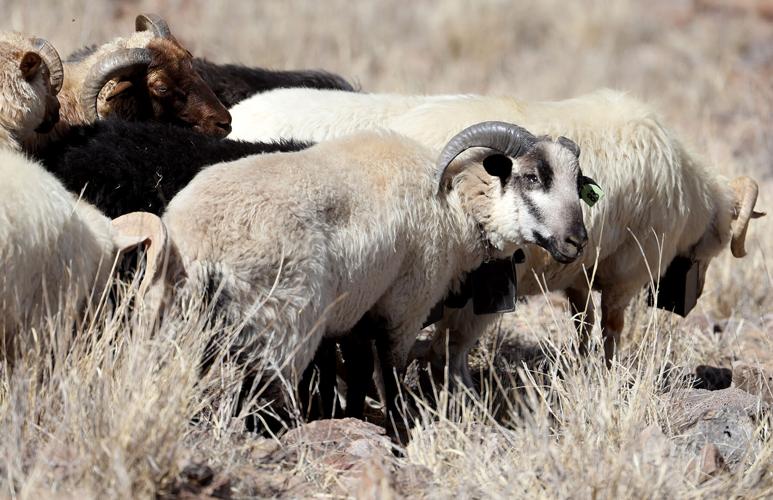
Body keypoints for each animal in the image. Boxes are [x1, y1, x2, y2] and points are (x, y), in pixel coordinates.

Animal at [161, 121, 589, 416]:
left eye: (578, 183)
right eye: (532, 177)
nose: (577, 241)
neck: (454, 206)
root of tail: (199, 240)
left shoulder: (359, 312)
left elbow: (359, 375)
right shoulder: (402, 308)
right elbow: (391, 381)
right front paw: (401, 434)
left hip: (194, 325)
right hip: (283, 326)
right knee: (260, 401)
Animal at [226, 87, 765, 380]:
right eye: (714, 249)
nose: (686, 307)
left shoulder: (578, 273)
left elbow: (582, 324)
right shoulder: (625, 272)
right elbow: (610, 332)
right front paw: (611, 377)